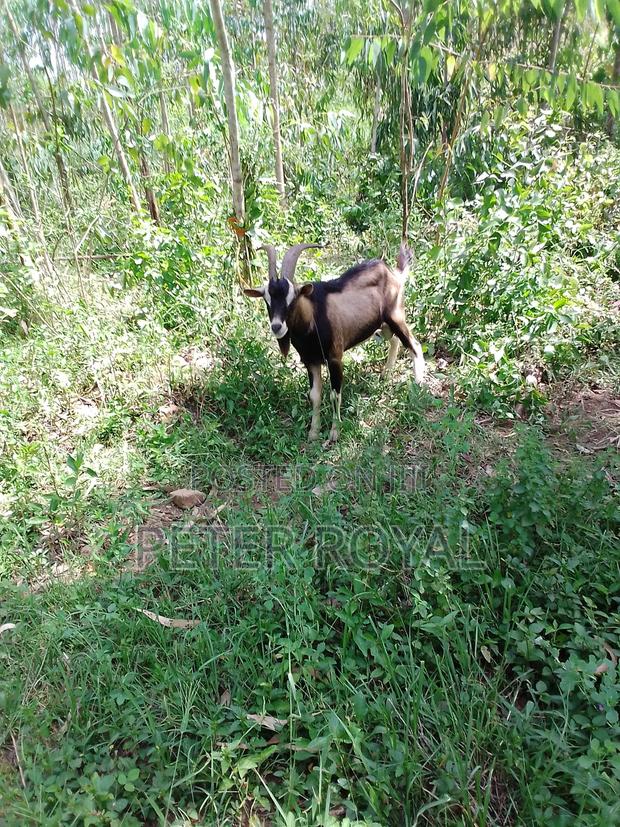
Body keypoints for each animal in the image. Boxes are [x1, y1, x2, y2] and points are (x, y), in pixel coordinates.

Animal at [244, 243, 425, 443]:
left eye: (293, 299)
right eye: (266, 300)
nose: (277, 327)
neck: (313, 318)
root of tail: (394, 273)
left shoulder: (334, 358)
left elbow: (334, 395)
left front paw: (334, 433)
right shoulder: (311, 361)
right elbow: (315, 395)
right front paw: (313, 433)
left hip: (396, 316)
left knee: (414, 345)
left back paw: (418, 388)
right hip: (382, 326)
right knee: (394, 340)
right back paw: (386, 375)